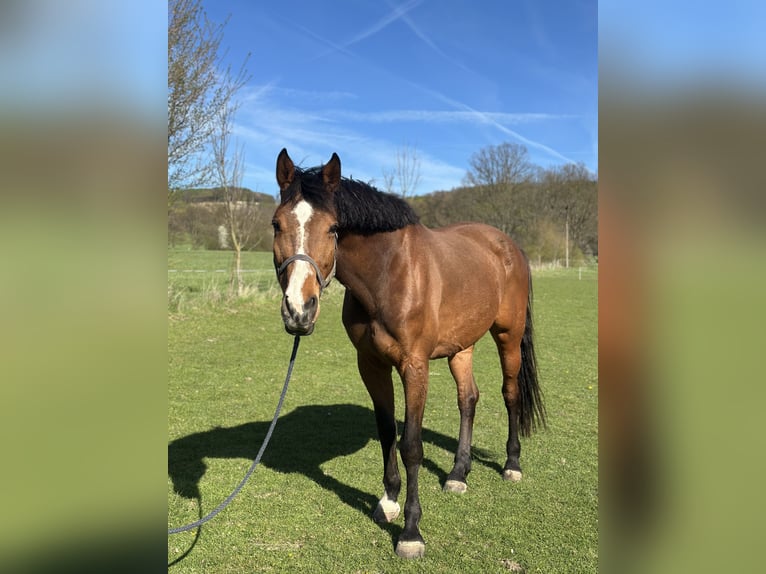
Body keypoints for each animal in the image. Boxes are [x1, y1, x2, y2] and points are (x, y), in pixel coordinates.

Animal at [271, 148, 546, 558]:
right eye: (276, 224)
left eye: (333, 228)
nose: (298, 310)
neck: (388, 275)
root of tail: (506, 245)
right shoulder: (371, 365)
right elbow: (388, 432)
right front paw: (388, 501)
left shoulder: (414, 367)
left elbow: (412, 445)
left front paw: (411, 532)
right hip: (461, 347)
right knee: (468, 399)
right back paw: (458, 473)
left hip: (508, 337)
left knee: (510, 394)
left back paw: (512, 464)